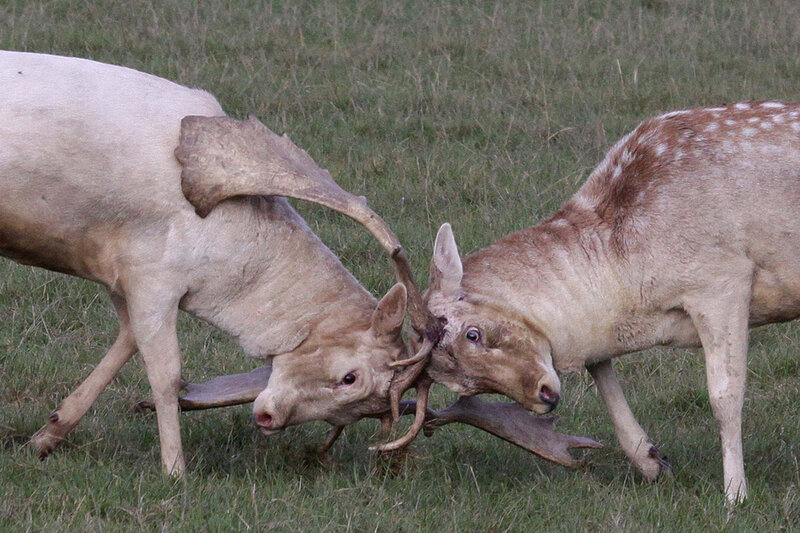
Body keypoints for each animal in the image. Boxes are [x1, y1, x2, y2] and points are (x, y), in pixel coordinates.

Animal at [0, 51, 598, 474]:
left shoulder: (123, 274)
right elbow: (165, 375)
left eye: (359, 415)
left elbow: (122, 346)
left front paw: (46, 437)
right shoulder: (155, 273)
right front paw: (175, 471)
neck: (221, 258)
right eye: (350, 378)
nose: (268, 417)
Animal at [420, 101, 800, 504]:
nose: (543, 397)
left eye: (472, 334)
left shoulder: (722, 279)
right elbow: (599, 364)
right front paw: (652, 463)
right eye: (463, 387)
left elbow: (725, 395)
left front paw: (735, 493)